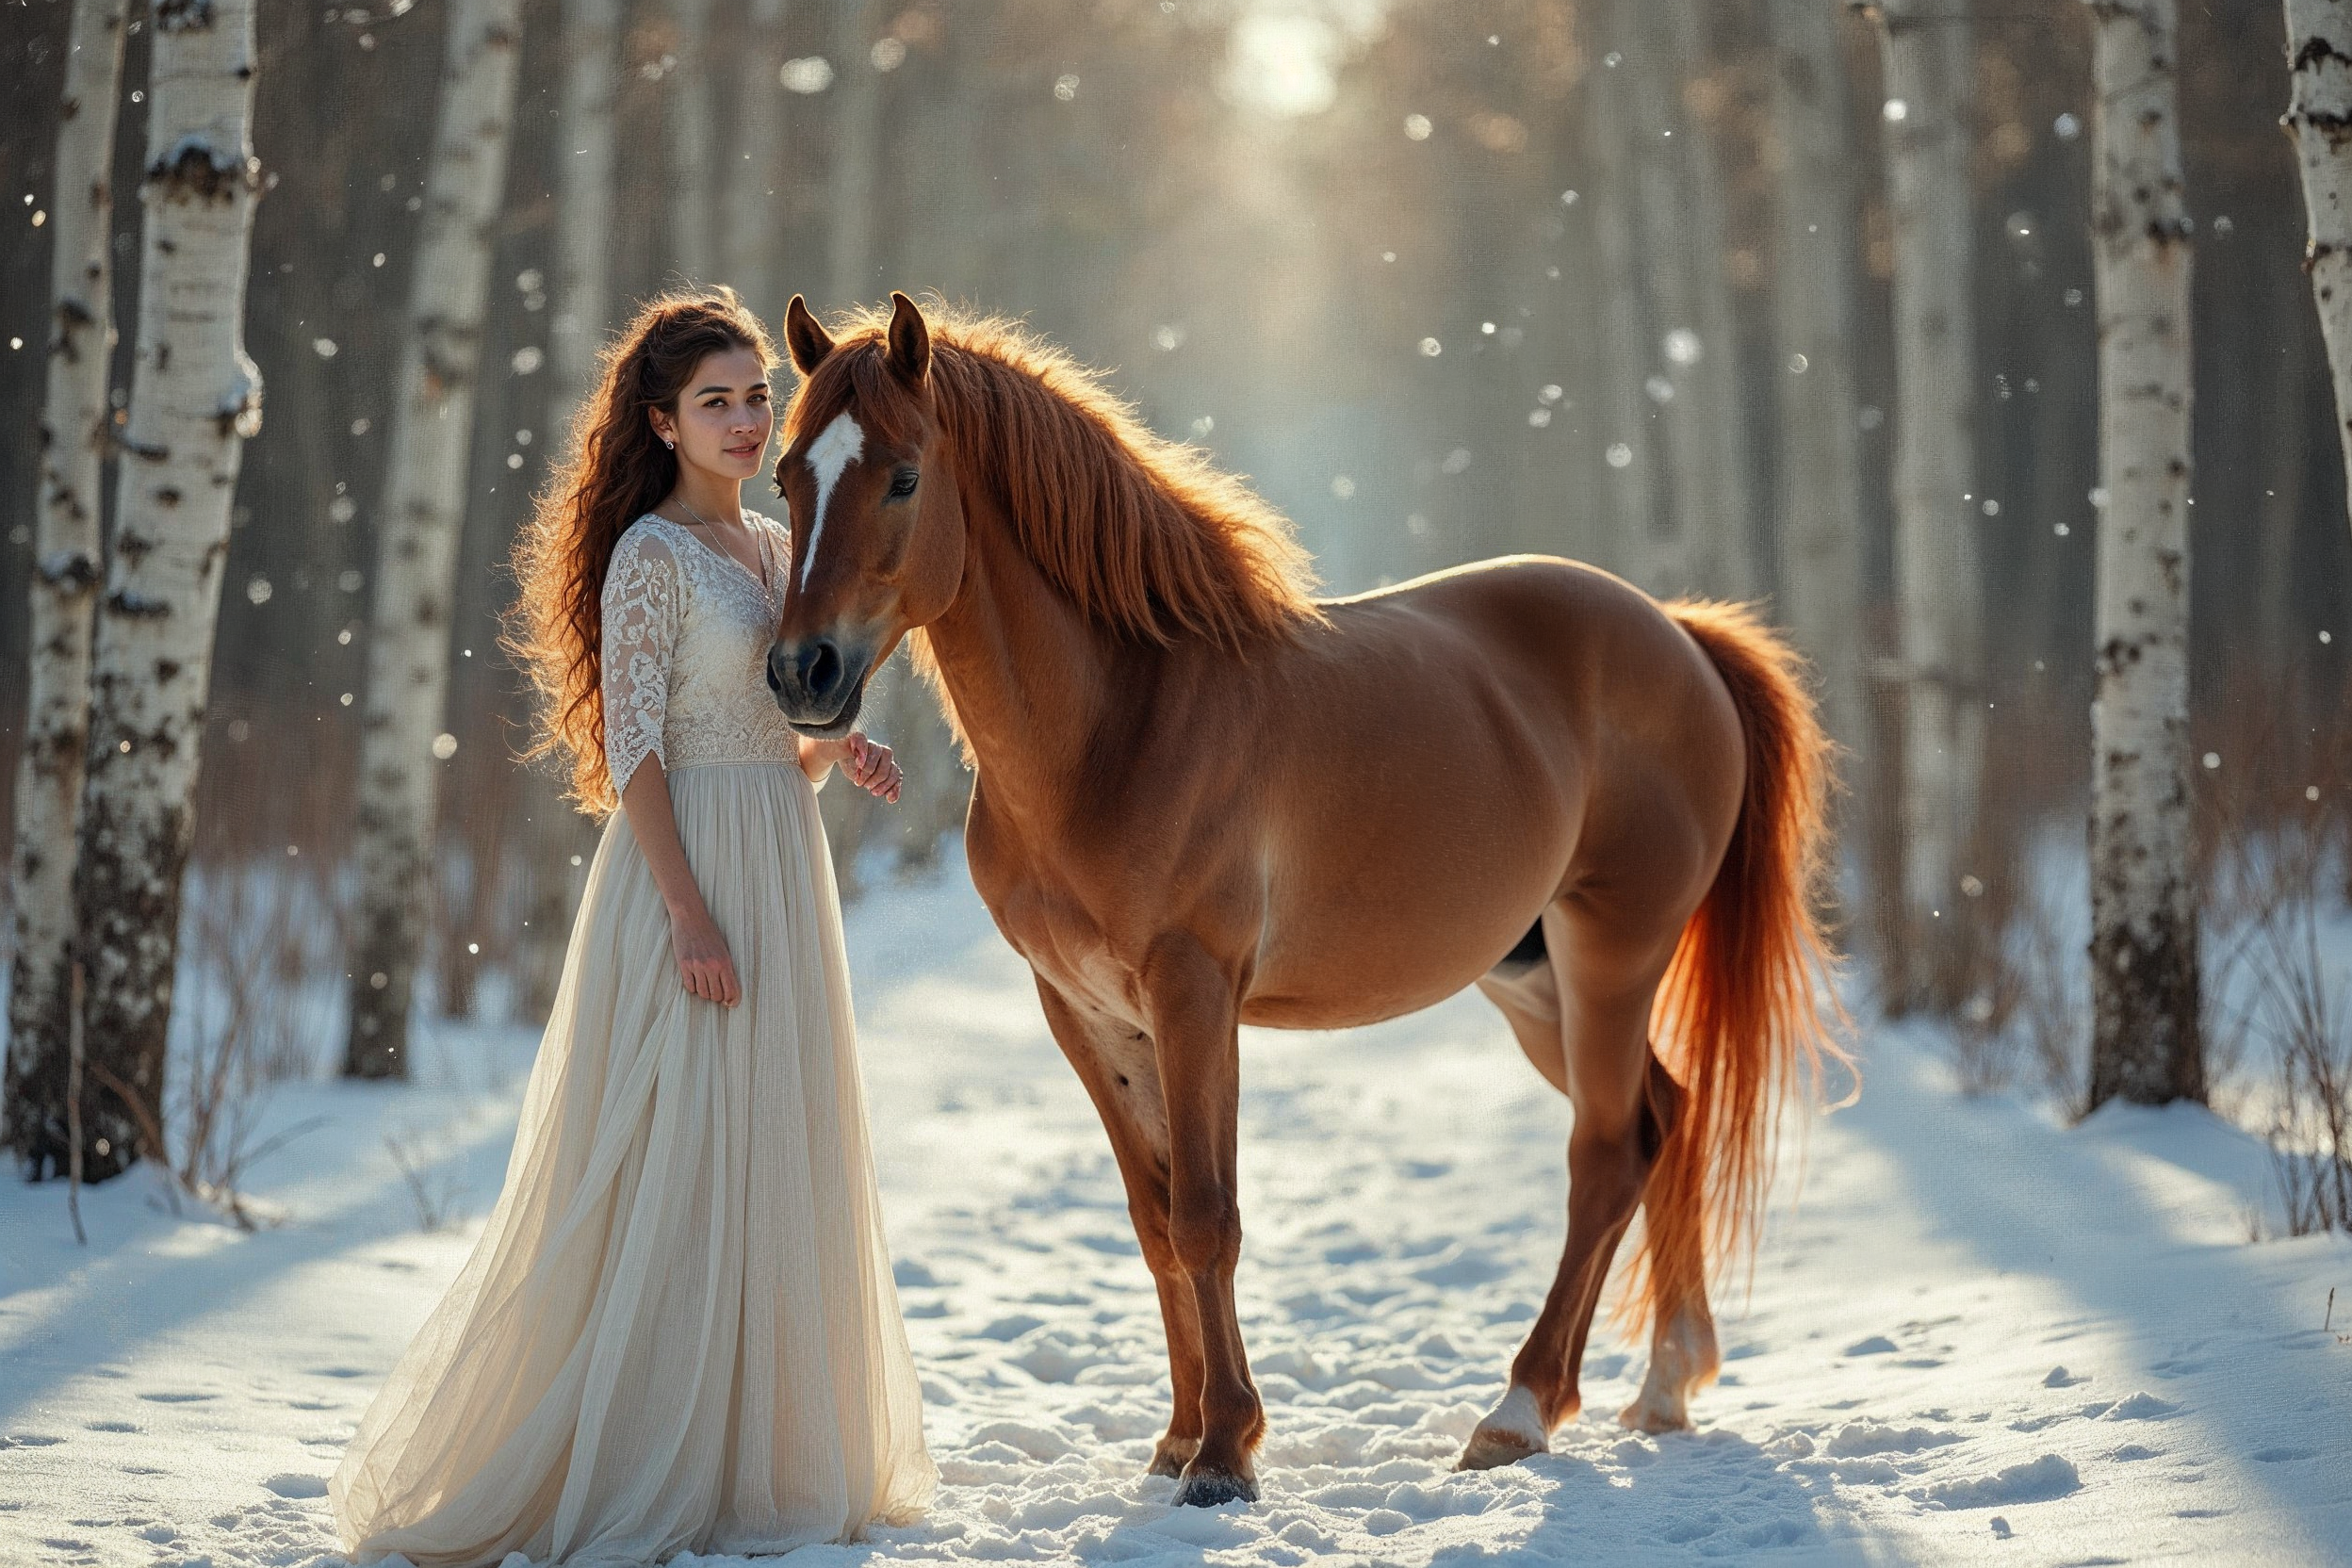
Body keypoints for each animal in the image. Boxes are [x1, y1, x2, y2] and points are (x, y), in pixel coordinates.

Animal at [764, 292, 1845, 1508]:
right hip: (1534, 984)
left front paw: (1225, 1451)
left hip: (1612, 954)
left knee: (1607, 1152)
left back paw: (1518, 1410)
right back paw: (1660, 1384)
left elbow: (1207, 1216)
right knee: (1666, 1116)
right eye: (787, 476)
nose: (802, 671)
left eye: (903, 476)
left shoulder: (1194, 995)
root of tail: (1679, 634)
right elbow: (1154, 1219)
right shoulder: (1085, 1010)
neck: (1119, 721)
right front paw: (1177, 1435)